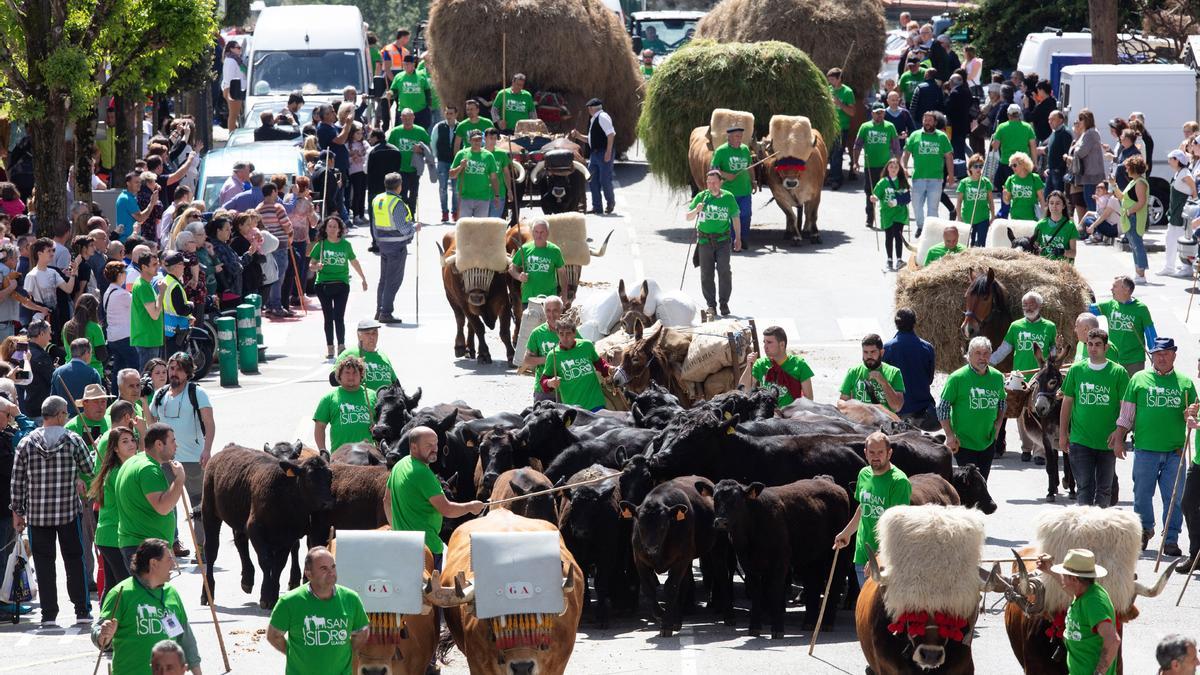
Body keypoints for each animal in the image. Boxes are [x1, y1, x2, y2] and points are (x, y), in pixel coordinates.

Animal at [554, 461, 633, 624]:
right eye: (573, 506)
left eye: (594, 509)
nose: (580, 531)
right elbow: (582, 579)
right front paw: (584, 610)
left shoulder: (606, 555)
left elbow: (600, 582)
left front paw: (601, 615)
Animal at [624, 470, 724, 634]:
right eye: (640, 523)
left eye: (663, 526)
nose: (651, 548)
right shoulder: (639, 559)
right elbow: (648, 588)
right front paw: (659, 614)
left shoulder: (680, 559)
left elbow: (671, 587)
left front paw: (666, 624)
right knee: (686, 582)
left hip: (715, 548)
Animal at [710, 475, 854, 634]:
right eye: (715, 499)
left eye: (736, 500)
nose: (720, 522)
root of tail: (830, 483)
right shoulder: (747, 563)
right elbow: (756, 592)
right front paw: (754, 627)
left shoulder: (780, 561)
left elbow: (775, 590)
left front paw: (777, 628)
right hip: (811, 557)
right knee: (813, 584)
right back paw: (809, 622)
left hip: (837, 554)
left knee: (834, 582)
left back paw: (827, 623)